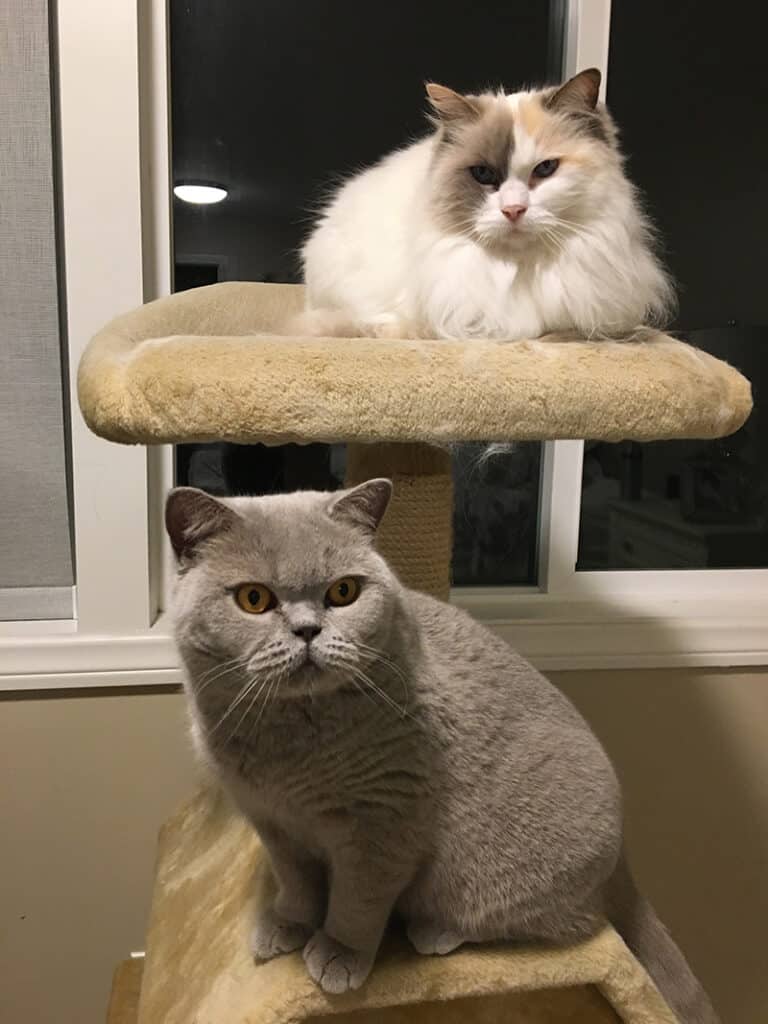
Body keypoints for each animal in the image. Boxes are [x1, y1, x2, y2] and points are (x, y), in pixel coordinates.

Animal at [167, 479, 720, 1024]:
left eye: (343, 591)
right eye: (254, 599)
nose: (307, 631)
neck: (286, 745)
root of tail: (624, 861)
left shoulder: (383, 823)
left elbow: (357, 899)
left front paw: (339, 955)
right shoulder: (272, 823)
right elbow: (297, 883)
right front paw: (287, 925)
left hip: (496, 877)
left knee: (562, 921)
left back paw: (435, 931)